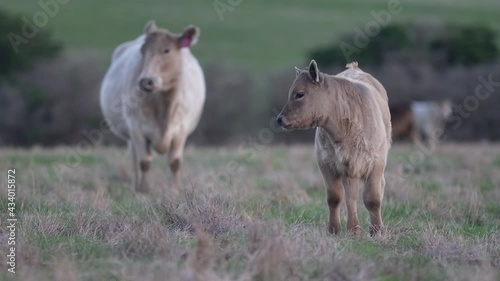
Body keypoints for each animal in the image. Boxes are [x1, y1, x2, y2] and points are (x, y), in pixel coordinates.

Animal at [99, 20, 205, 192]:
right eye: (143, 50)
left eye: (167, 50)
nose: (146, 81)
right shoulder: (136, 127)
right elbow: (145, 162)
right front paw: (145, 190)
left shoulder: (181, 129)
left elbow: (175, 162)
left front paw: (175, 189)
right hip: (130, 134)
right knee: (134, 158)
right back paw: (135, 185)